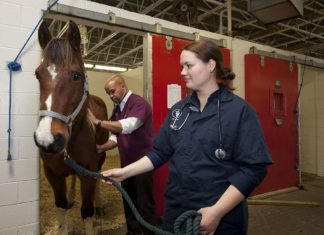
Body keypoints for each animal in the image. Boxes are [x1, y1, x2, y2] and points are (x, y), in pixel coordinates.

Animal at [34, 20, 108, 235]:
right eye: (37, 75)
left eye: (76, 75)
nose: (47, 138)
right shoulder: (53, 174)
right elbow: (61, 207)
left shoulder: (88, 173)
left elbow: (87, 211)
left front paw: (94, 208)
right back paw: (73, 196)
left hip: (100, 159)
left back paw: (100, 205)